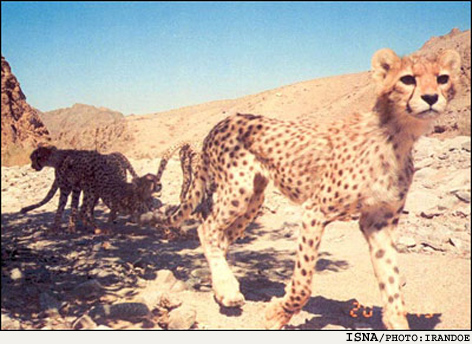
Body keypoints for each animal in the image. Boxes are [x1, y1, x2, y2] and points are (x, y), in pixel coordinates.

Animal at [155, 47, 460, 330]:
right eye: (407, 79)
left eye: (442, 78)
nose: (431, 97)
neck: (398, 136)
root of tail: (223, 121)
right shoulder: (315, 211)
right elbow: (303, 284)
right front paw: (276, 315)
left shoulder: (379, 224)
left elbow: (392, 284)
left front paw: (398, 323)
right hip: (237, 191)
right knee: (206, 228)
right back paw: (228, 289)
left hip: (254, 198)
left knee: (220, 237)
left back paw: (223, 286)